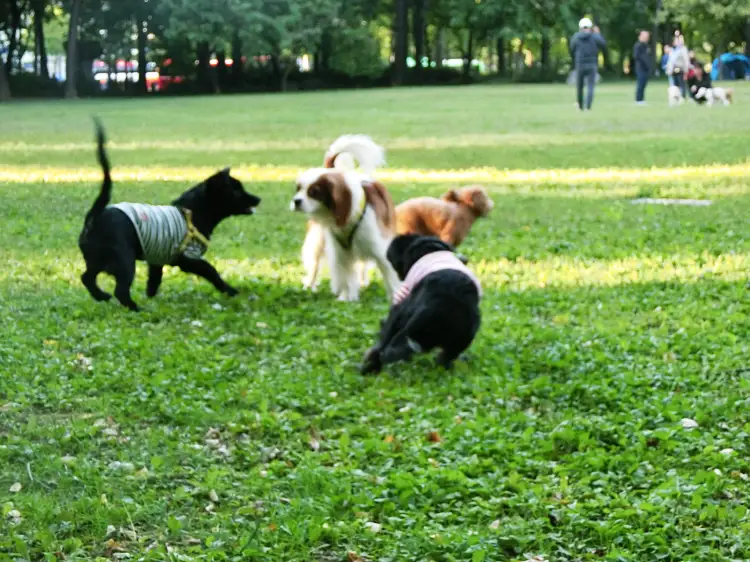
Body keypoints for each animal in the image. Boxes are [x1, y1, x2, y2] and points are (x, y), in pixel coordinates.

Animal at [79, 119, 262, 310]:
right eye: (237, 191)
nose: (258, 199)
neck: (194, 212)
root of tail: (95, 216)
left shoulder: (156, 259)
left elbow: (154, 280)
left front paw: (151, 296)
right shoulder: (188, 258)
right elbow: (212, 271)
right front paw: (231, 290)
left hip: (97, 260)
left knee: (86, 278)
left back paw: (101, 296)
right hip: (124, 261)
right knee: (120, 290)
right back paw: (136, 309)